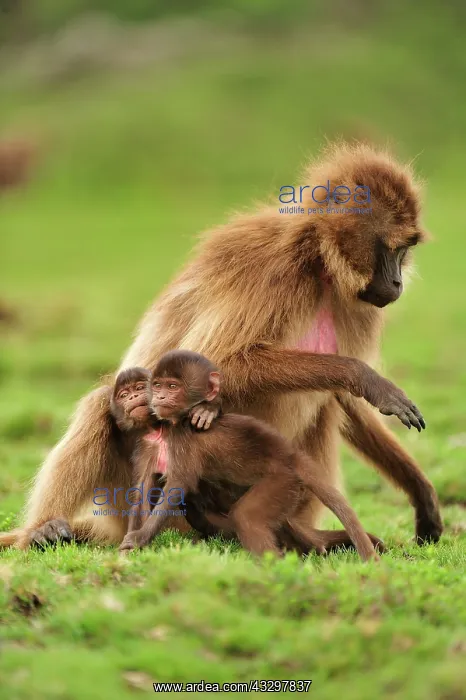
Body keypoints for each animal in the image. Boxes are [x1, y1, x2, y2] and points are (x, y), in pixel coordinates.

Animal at [118, 350, 384, 561]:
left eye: (172, 387)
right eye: (157, 385)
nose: (159, 397)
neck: (170, 426)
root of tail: (291, 457)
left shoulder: (183, 439)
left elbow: (178, 484)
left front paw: (139, 537)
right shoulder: (148, 444)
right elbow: (144, 487)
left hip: (281, 483)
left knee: (247, 517)